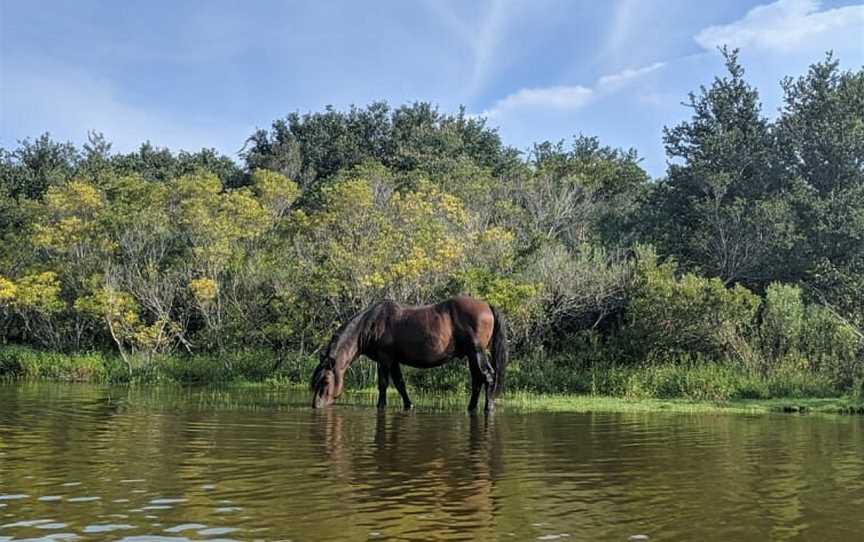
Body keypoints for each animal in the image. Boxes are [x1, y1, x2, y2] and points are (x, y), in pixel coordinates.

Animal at [308, 298, 506, 412]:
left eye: (325, 381)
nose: (316, 405)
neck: (371, 324)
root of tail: (487, 306)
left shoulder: (385, 359)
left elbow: (383, 384)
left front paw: (381, 406)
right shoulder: (394, 360)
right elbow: (400, 384)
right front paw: (409, 405)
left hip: (477, 352)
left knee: (488, 377)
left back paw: (488, 407)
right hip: (472, 356)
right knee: (477, 380)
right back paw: (471, 408)